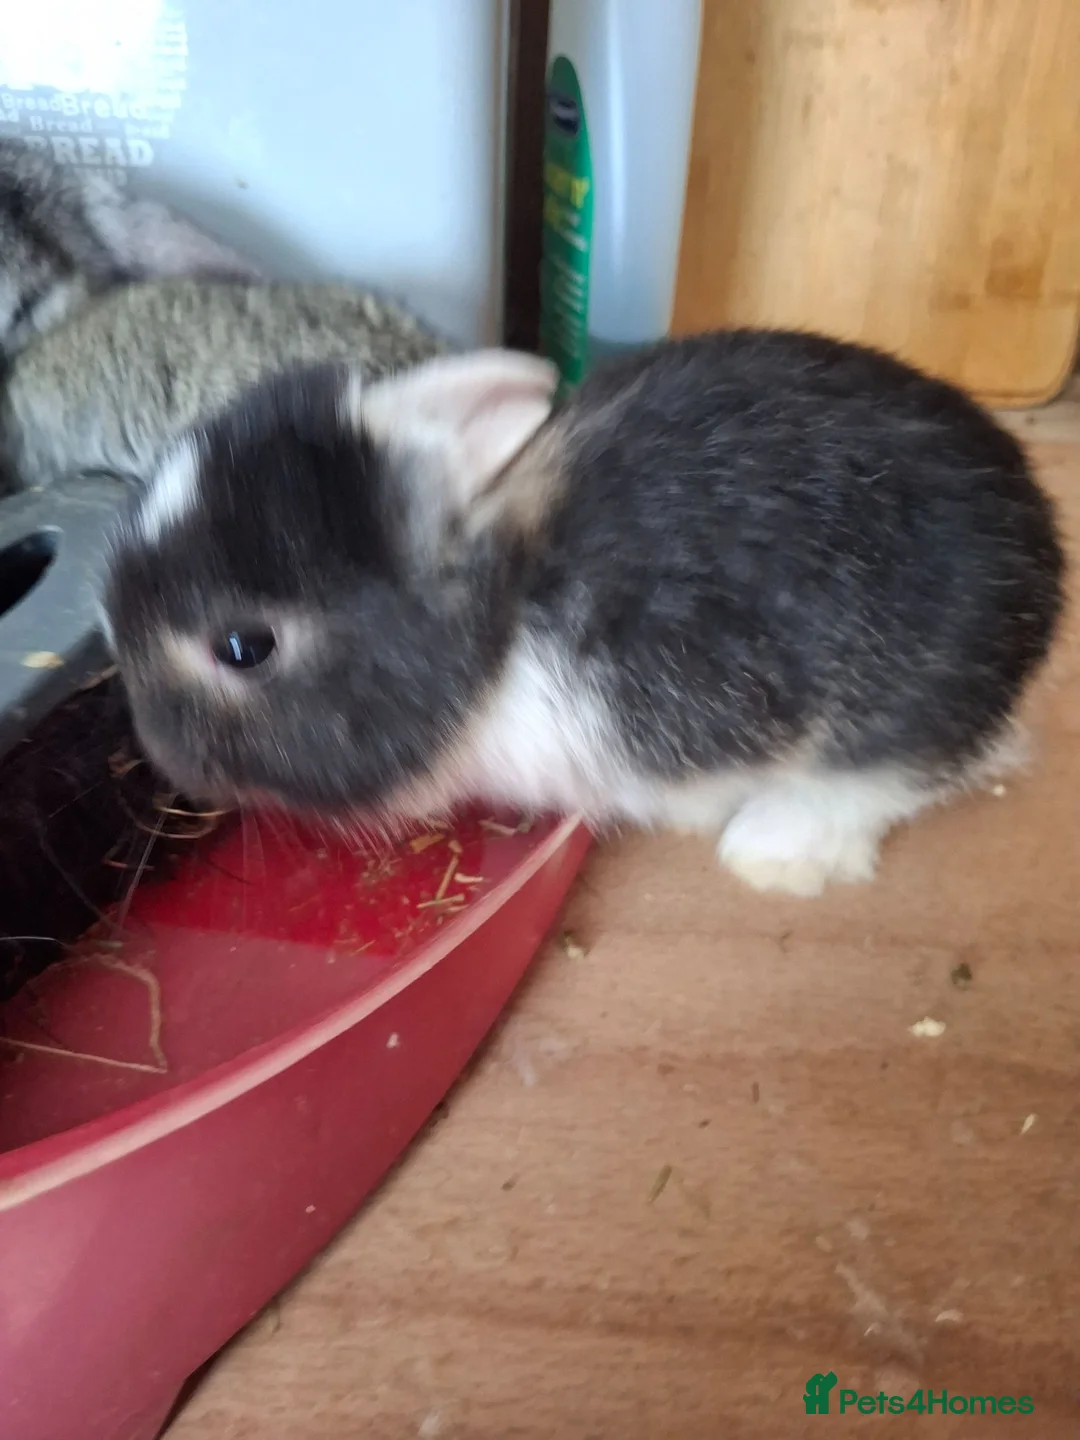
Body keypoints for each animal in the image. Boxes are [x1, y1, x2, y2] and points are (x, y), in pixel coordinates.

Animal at [98, 330, 1065, 897]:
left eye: (243, 646)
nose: (156, 748)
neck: (503, 615)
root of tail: (1043, 565)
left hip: (891, 720)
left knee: (877, 786)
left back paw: (766, 850)